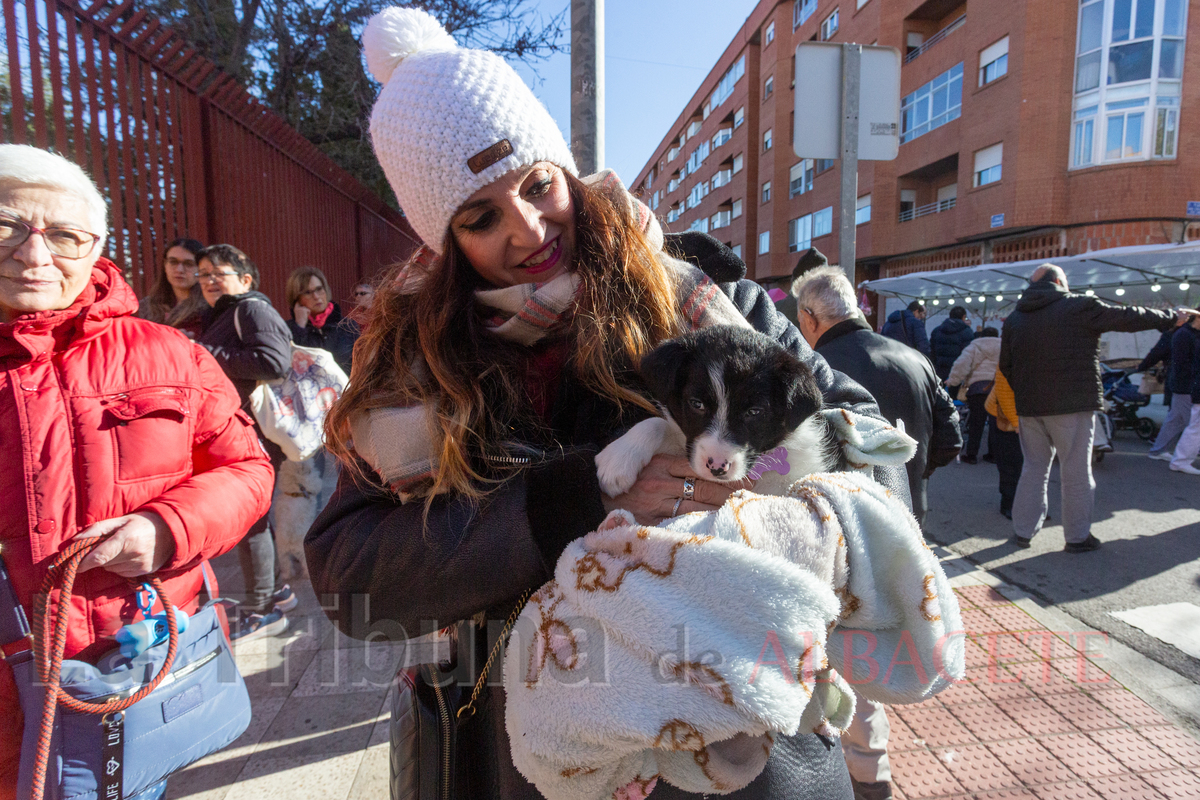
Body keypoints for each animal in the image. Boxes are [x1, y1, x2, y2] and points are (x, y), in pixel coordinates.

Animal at [595, 321, 840, 496]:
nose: (717, 467)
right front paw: (618, 460)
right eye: (697, 404)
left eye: (754, 412)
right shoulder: (688, 443)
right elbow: (657, 423)